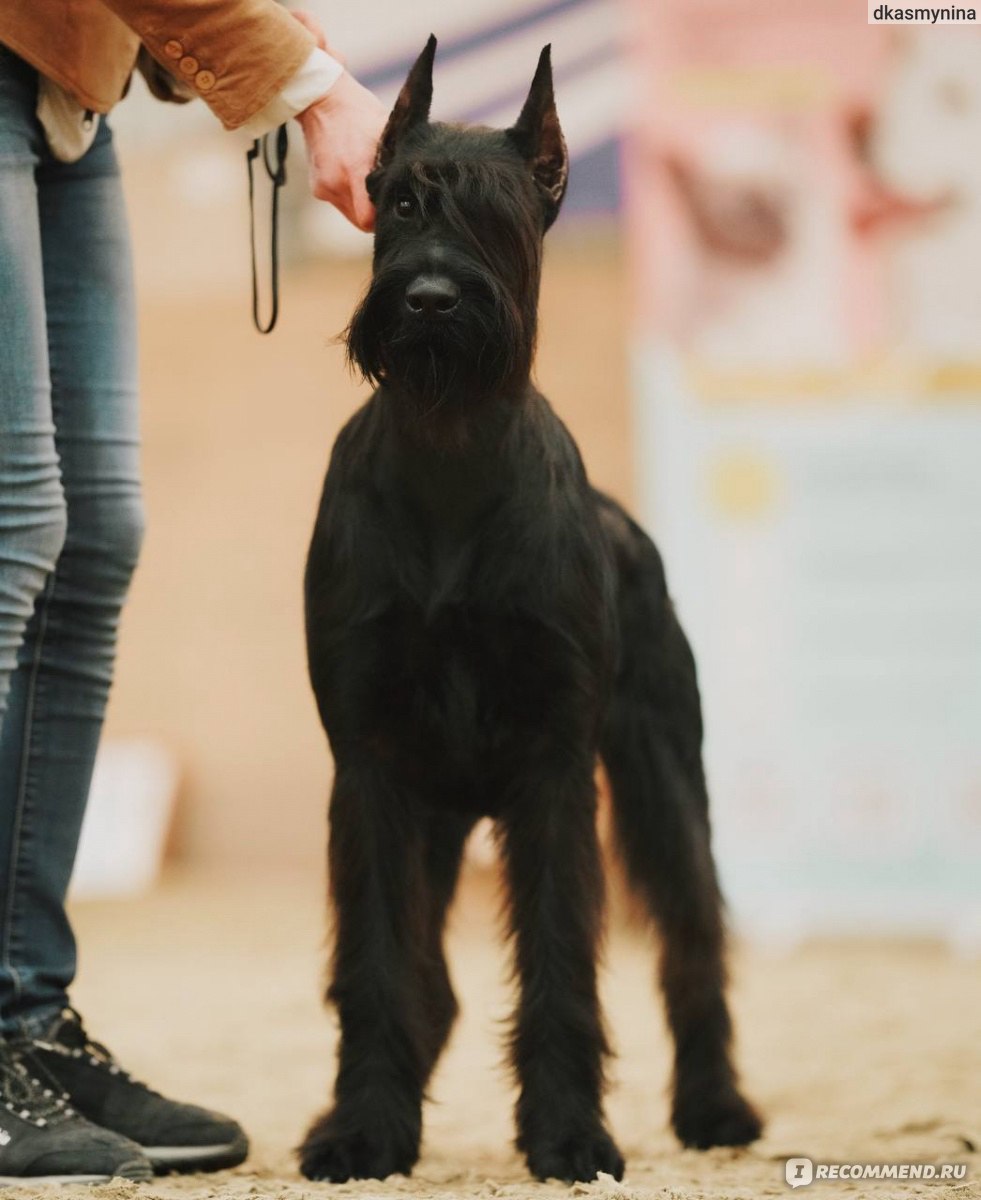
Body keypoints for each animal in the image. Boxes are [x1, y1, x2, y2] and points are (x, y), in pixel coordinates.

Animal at [302, 35, 762, 1180]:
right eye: (398, 200)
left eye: (497, 214)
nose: (427, 297)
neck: (450, 451)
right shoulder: (371, 771)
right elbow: (376, 966)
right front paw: (364, 1131)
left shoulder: (554, 771)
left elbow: (562, 965)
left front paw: (567, 1135)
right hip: (438, 817)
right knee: (430, 980)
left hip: (663, 784)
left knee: (694, 946)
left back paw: (716, 1107)